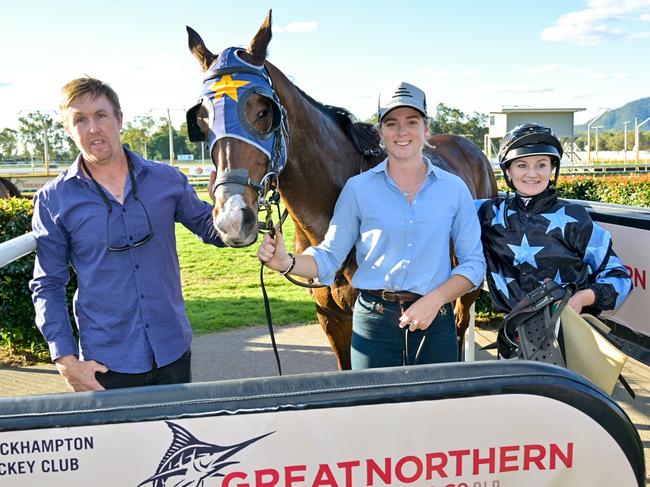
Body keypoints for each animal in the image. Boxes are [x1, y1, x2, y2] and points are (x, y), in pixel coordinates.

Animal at [185, 10, 494, 370]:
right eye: (202, 120)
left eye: (263, 112)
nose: (233, 218)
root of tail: (470, 148)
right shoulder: (331, 316)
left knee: (458, 325)